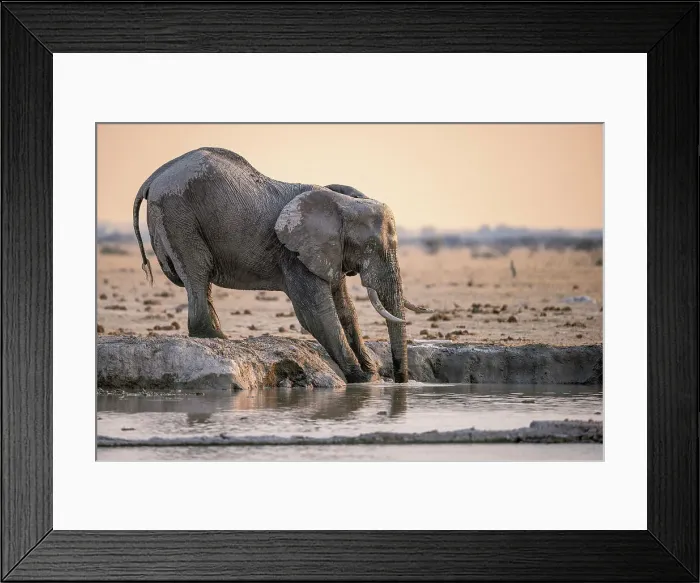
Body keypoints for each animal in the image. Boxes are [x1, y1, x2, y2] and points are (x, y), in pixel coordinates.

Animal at [133, 147, 432, 384]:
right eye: (371, 247)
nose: (400, 381)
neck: (342, 204)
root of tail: (154, 176)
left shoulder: (328, 252)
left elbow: (346, 309)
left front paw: (370, 374)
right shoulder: (294, 255)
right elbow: (317, 312)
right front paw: (359, 377)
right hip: (178, 214)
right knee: (198, 273)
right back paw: (215, 336)